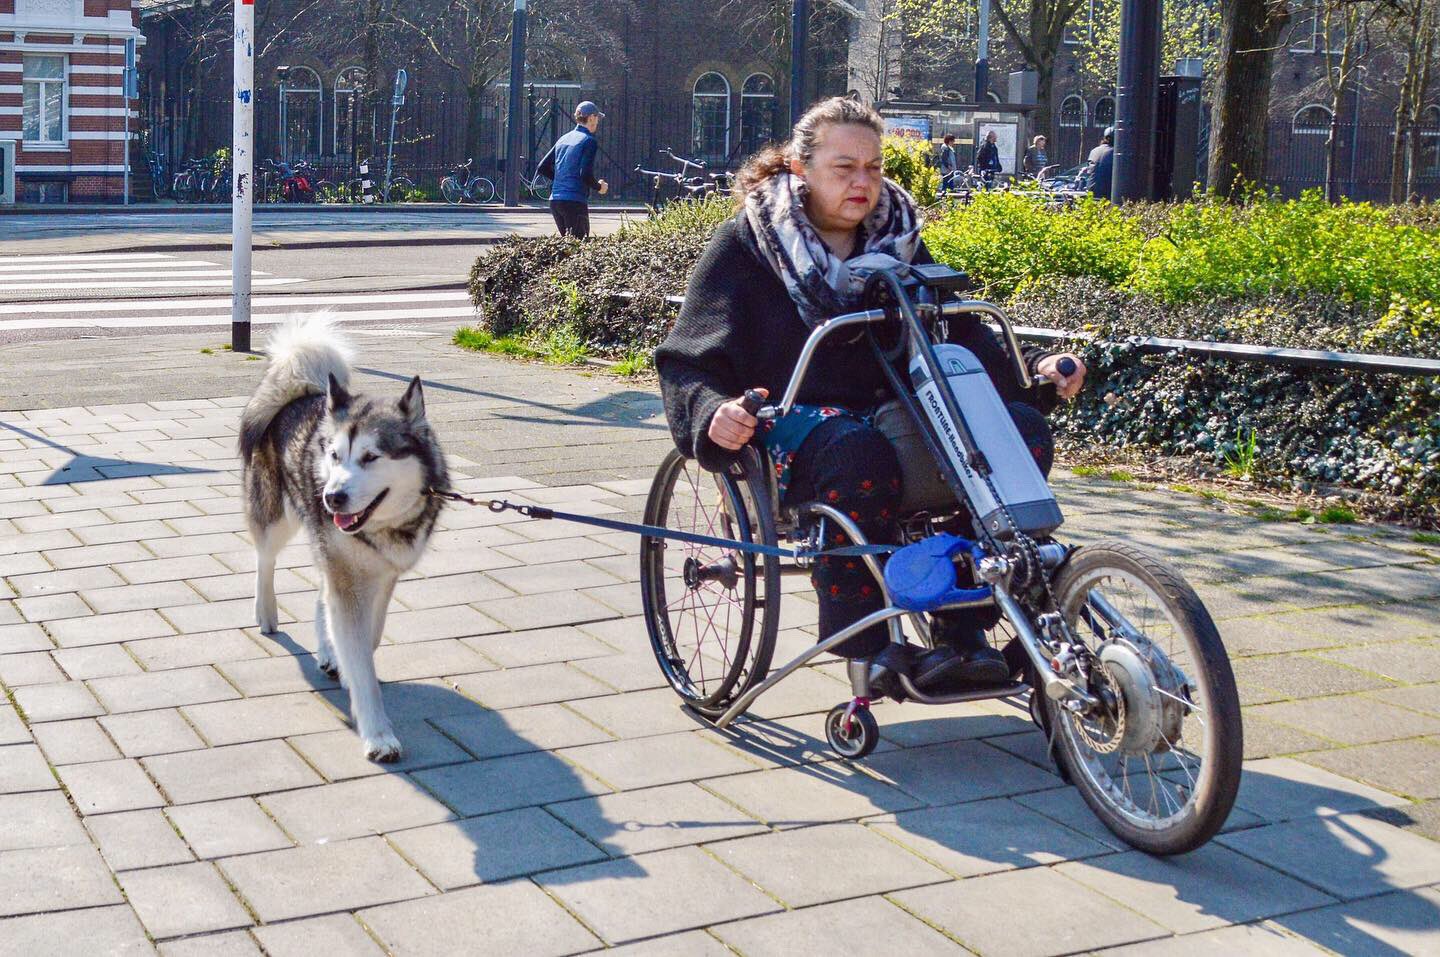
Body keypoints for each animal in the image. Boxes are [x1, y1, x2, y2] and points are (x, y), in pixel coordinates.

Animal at [239, 313, 446, 759]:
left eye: (371, 457)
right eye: (333, 456)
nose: (331, 497)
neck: (381, 528)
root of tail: (304, 393)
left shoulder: (382, 576)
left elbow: (368, 637)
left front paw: (344, 661)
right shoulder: (348, 576)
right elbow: (359, 656)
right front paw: (378, 733)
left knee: (320, 588)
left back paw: (327, 651)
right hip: (277, 517)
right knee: (265, 558)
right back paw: (266, 612)